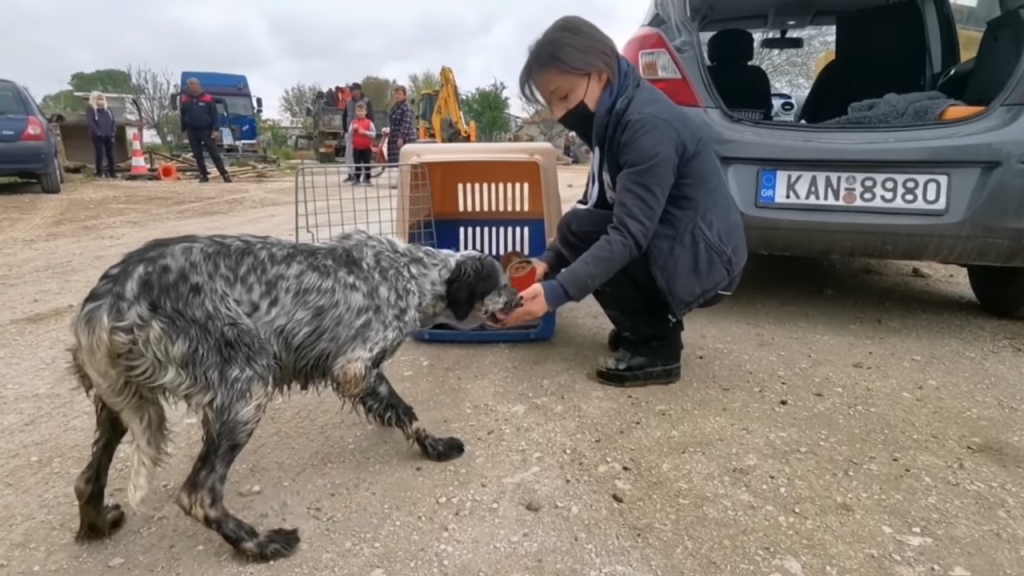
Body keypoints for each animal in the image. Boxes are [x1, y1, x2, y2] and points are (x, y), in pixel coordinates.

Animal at [66, 229, 520, 561]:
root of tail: (108, 297)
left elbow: (391, 408)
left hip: (119, 403)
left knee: (87, 479)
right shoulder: (354, 365)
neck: (413, 274)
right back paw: (260, 544)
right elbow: (408, 412)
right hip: (248, 387)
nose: (518, 299)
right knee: (198, 495)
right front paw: (435, 446)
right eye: (502, 284)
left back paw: (97, 524)